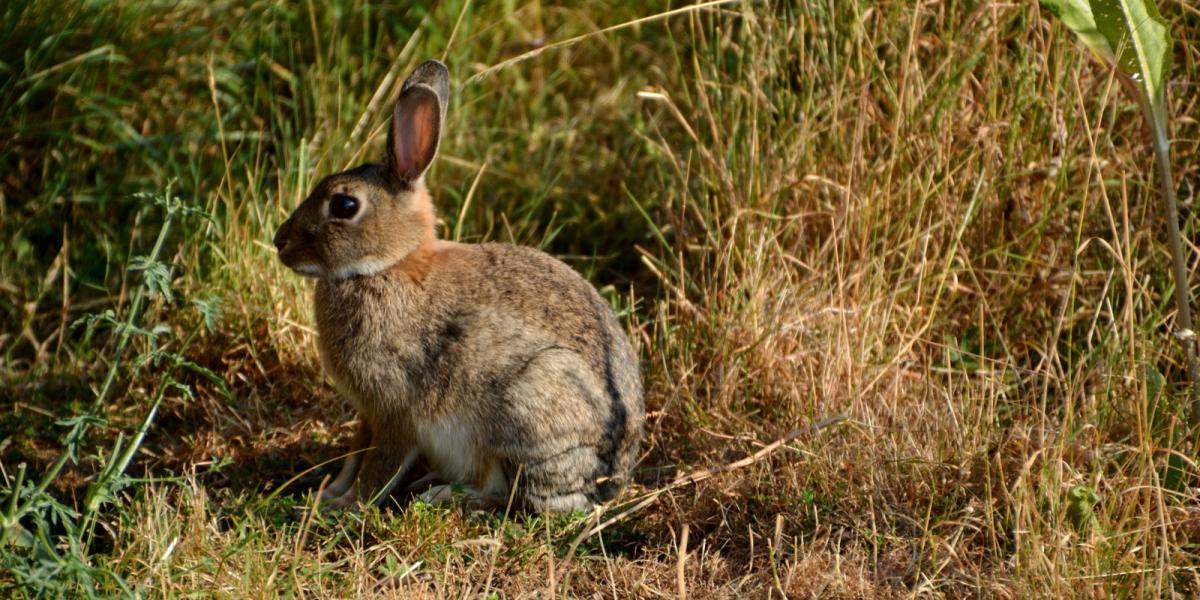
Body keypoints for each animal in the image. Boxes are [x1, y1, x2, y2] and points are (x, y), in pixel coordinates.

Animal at [273, 59, 648, 511]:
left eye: (345, 205)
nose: (279, 243)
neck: (387, 266)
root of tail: (610, 479)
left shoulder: (394, 409)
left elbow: (380, 465)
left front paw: (349, 505)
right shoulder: (367, 413)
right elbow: (355, 455)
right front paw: (329, 494)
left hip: (524, 409)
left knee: (504, 494)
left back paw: (442, 493)